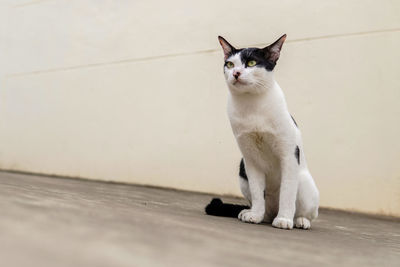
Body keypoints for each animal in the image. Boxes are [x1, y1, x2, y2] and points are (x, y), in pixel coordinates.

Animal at [206, 33, 318, 230]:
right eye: (230, 64)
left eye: (251, 63)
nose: (236, 73)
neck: (253, 106)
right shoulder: (250, 158)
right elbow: (258, 192)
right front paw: (255, 215)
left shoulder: (289, 154)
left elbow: (287, 192)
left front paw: (284, 219)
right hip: (242, 172)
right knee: (263, 204)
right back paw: (255, 213)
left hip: (305, 183)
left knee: (305, 211)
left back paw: (298, 220)